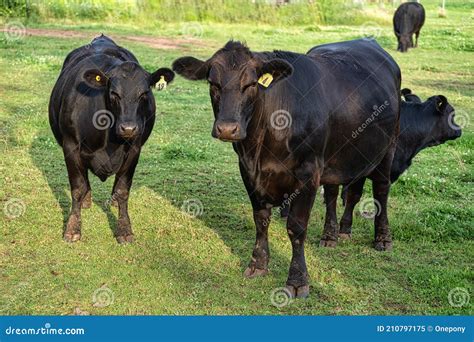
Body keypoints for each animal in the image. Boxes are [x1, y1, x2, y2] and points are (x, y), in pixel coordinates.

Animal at [49, 34, 175, 243]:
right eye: (114, 93)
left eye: (144, 93)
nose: (129, 128)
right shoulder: (70, 145)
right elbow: (77, 187)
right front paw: (73, 228)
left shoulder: (134, 149)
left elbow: (123, 190)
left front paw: (124, 229)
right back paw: (87, 200)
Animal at [172, 38, 402, 298]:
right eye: (213, 84)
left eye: (251, 84)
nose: (227, 129)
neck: (261, 148)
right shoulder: (248, 172)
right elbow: (260, 220)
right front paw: (258, 264)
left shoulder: (308, 173)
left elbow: (296, 227)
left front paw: (298, 280)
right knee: (338, 193)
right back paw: (334, 233)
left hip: (388, 148)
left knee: (381, 190)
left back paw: (382, 239)